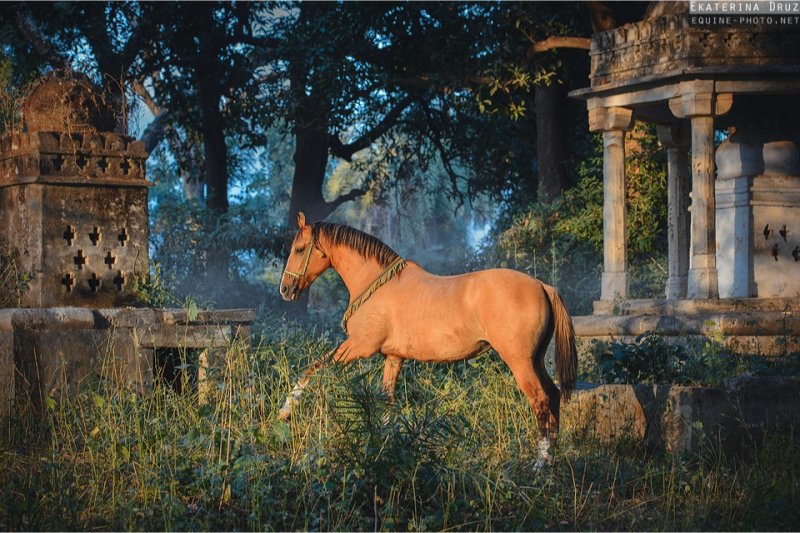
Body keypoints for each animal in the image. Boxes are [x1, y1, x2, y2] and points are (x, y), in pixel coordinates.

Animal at [280, 210, 576, 468]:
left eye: (299, 249)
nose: (285, 289)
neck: (377, 284)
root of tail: (542, 286)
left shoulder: (358, 347)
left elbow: (313, 367)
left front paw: (286, 410)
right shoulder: (393, 358)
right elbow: (387, 401)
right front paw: (384, 445)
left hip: (520, 361)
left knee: (540, 400)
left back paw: (540, 464)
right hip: (536, 359)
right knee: (554, 395)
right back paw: (551, 459)